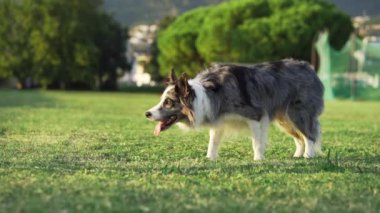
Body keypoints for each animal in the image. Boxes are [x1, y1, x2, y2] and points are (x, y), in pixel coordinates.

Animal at [145, 59, 324, 161]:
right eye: (162, 100)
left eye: (168, 102)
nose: (147, 113)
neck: (208, 94)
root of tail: (308, 67)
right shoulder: (219, 120)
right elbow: (213, 142)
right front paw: (210, 158)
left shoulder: (255, 115)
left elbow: (256, 142)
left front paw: (258, 159)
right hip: (284, 119)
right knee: (299, 138)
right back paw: (298, 155)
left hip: (297, 113)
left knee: (309, 135)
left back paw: (308, 156)